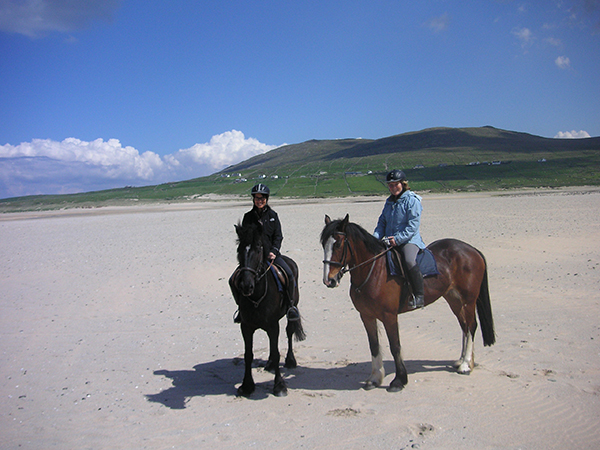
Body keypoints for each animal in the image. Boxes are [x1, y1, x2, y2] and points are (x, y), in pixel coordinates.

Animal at [229, 221, 308, 398]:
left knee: (289, 332)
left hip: (291, 310)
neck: (257, 296)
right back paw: (271, 364)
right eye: (239, 250)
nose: (246, 285)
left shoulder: (273, 325)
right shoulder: (246, 327)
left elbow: (277, 351)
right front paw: (247, 386)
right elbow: (248, 355)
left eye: (258, 249)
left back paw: (290, 361)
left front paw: (279, 386)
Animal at [322, 213, 494, 392]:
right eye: (323, 244)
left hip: (468, 300)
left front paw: (399, 380)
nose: (329, 280)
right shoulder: (366, 316)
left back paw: (466, 365)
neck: (374, 271)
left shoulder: (389, 316)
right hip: (454, 299)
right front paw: (375, 379)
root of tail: (471, 250)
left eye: (338, 244)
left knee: (471, 326)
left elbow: (395, 346)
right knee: (464, 326)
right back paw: (461, 360)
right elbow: (374, 345)